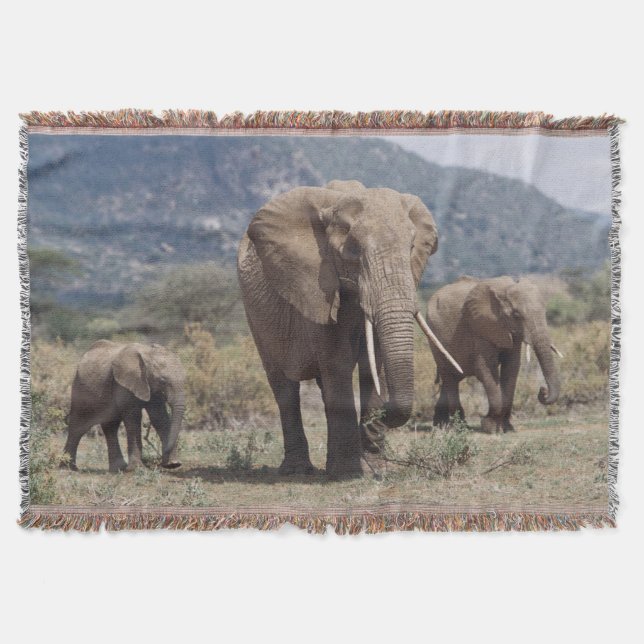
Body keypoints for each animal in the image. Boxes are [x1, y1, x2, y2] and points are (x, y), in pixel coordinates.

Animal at [61, 340, 186, 472]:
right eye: (162, 381)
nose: (162, 461)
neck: (148, 353)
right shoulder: (124, 384)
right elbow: (133, 419)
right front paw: (137, 469)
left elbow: (159, 417)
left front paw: (173, 464)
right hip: (79, 388)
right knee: (78, 427)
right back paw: (68, 468)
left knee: (110, 426)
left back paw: (117, 469)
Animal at [237, 179, 459, 479]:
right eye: (353, 251)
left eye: (412, 247)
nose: (384, 414)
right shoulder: (316, 285)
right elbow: (337, 362)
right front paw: (346, 473)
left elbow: (373, 365)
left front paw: (375, 468)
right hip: (255, 313)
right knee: (283, 385)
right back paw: (297, 470)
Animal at [426, 276, 562, 433]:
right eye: (516, 315)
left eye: (545, 312)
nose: (542, 390)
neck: (504, 289)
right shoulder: (481, 328)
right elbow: (486, 368)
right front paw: (490, 427)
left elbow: (511, 368)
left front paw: (507, 428)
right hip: (434, 337)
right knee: (449, 376)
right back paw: (459, 427)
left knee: (452, 377)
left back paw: (441, 425)